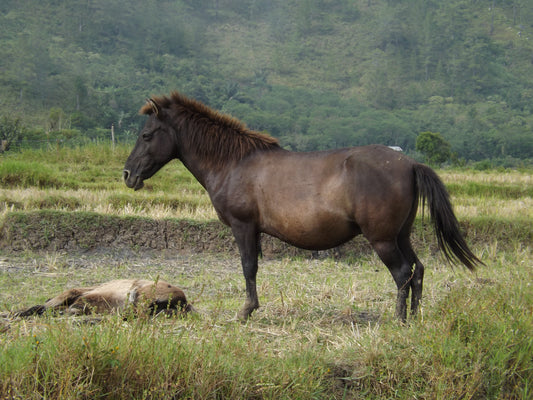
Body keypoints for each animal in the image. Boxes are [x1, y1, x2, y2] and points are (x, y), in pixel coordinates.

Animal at [121, 91, 482, 322]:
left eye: (147, 135)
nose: (127, 174)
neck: (233, 163)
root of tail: (409, 163)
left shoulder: (243, 227)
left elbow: (248, 267)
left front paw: (246, 311)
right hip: (400, 236)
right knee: (417, 271)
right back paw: (415, 318)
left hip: (382, 240)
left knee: (403, 274)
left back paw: (399, 319)